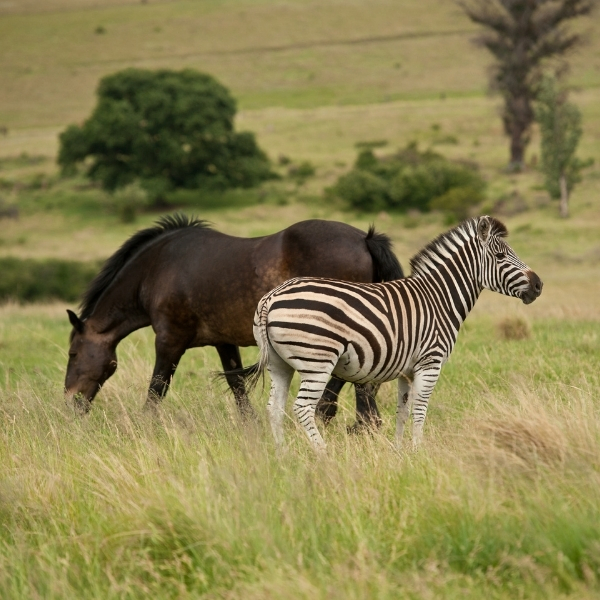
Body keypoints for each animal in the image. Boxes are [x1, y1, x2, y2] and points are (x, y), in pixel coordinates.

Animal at [65, 213, 404, 424]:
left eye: (72, 353)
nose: (71, 402)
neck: (157, 269)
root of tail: (364, 239)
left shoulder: (169, 341)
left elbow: (157, 387)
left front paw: (145, 424)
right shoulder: (223, 342)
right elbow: (237, 384)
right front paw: (250, 426)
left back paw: (337, 417)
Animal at [246, 217, 540, 450]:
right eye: (501, 257)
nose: (538, 285)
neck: (439, 299)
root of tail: (271, 297)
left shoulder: (406, 371)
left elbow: (403, 410)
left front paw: (400, 451)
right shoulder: (430, 363)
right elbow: (420, 410)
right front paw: (418, 451)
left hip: (279, 363)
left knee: (275, 408)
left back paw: (282, 455)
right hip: (317, 362)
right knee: (302, 408)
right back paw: (323, 454)